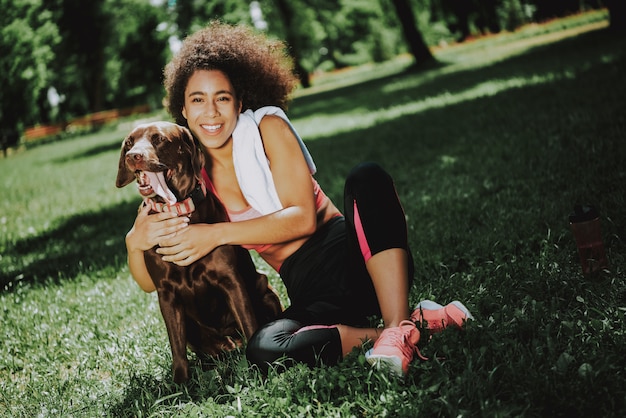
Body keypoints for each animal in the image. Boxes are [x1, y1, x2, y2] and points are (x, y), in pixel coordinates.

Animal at [116, 120, 280, 382]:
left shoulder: (231, 281)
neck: (178, 211)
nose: (134, 156)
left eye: (159, 139)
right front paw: (180, 384)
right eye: (129, 143)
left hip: (265, 290)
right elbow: (177, 348)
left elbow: (249, 323)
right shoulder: (166, 294)